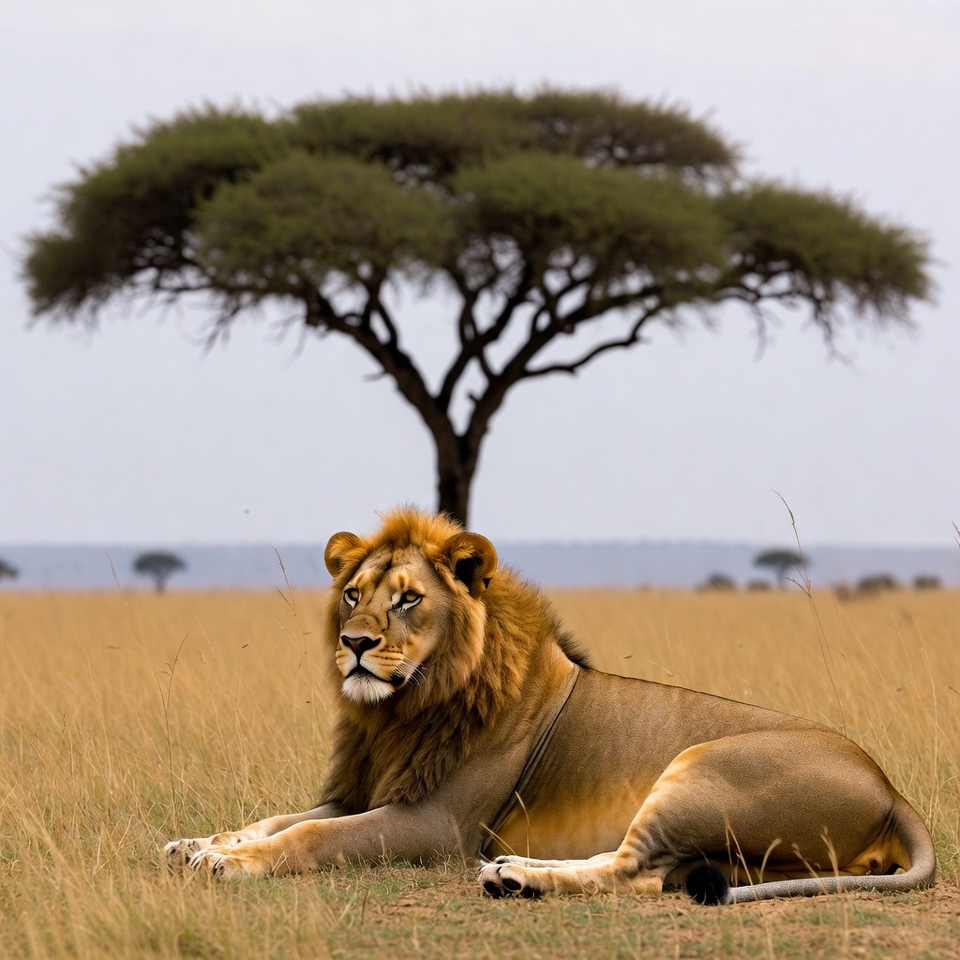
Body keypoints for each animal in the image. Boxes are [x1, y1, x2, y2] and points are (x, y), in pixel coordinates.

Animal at [165, 508, 935, 904]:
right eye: (354, 593)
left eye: (408, 599)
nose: (353, 643)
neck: (401, 713)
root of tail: (891, 790)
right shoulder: (365, 789)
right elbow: (280, 818)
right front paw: (200, 843)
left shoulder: (436, 824)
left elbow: (311, 836)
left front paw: (231, 864)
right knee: (653, 872)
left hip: (700, 770)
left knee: (634, 874)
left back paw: (514, 876)